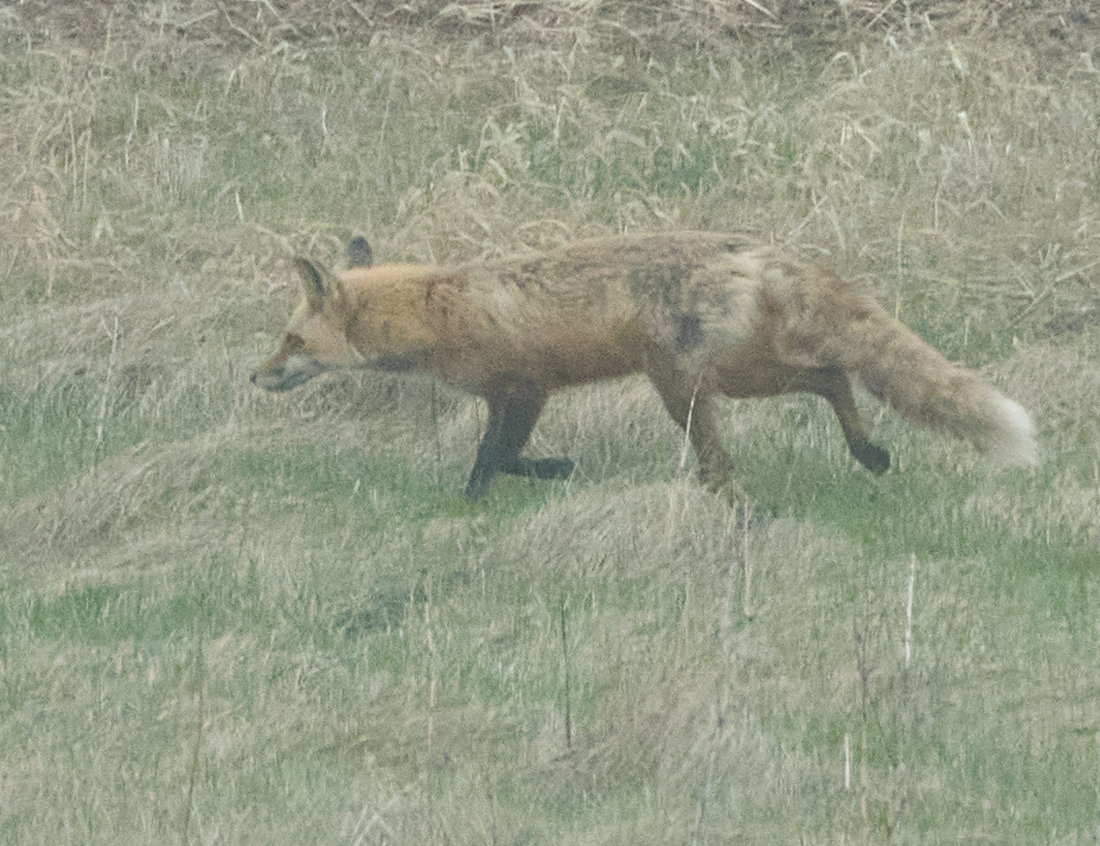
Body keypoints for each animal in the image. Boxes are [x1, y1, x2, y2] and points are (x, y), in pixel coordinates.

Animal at [251, 232, 1038, 500]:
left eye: (291, 341)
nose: (254, 377)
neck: (438, 307)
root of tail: (757, 252)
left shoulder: (524, 386)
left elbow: (494, 458)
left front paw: (496, 496)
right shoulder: (512, 396)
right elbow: (499, 455)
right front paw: (542, 475)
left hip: (692, 387)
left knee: (763, 432)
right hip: (736, 378)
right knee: (830, 376)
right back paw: (868, 453)